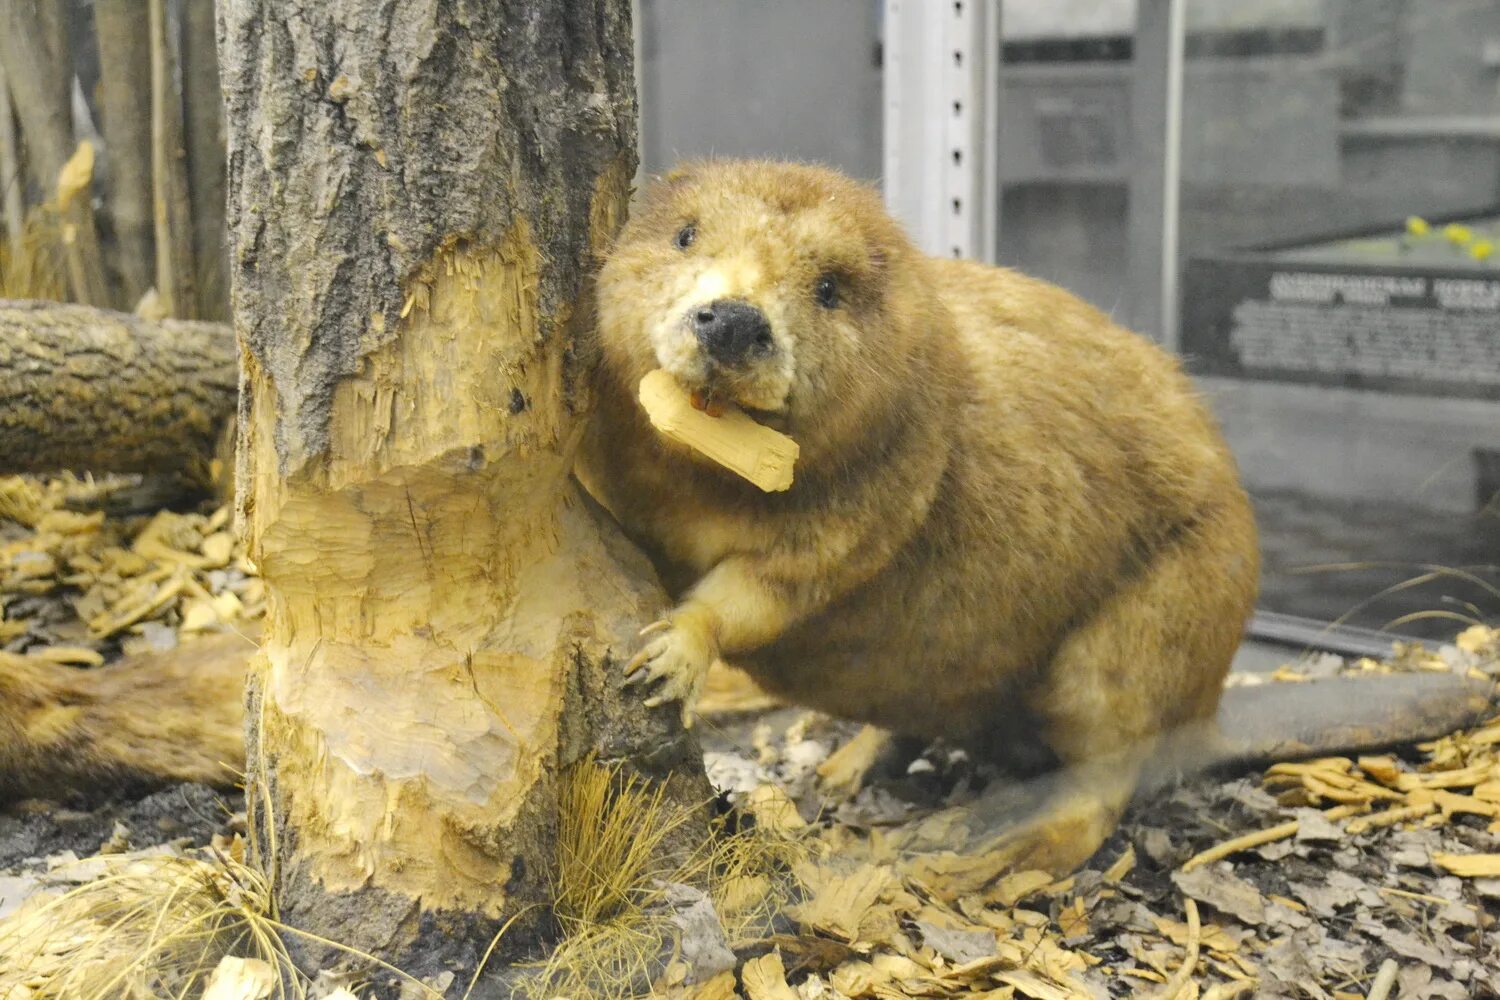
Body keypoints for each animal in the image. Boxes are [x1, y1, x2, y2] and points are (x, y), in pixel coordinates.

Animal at [573, 160, 1266, 869]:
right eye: (685, 234)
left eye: (829, 288)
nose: (735, 322)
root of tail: (1211, 716)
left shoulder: (893, 478)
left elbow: (772, 587)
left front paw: (670, 653)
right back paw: (845, 769)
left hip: (1158, 625)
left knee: (1105, 769)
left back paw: (996, 852)